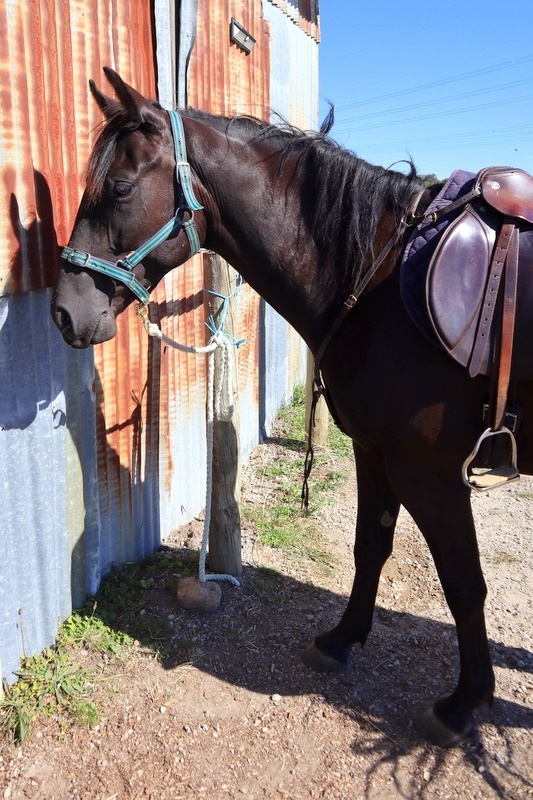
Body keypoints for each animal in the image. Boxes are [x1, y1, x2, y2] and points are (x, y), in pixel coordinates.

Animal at [51, 67, 532, 744]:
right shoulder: (375, 452)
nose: (65, 311)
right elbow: (370, 545)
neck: (380, 279)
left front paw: (464, 702)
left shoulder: (430, 473)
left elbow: (464, 585)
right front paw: (341, 640)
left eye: (119, 187)